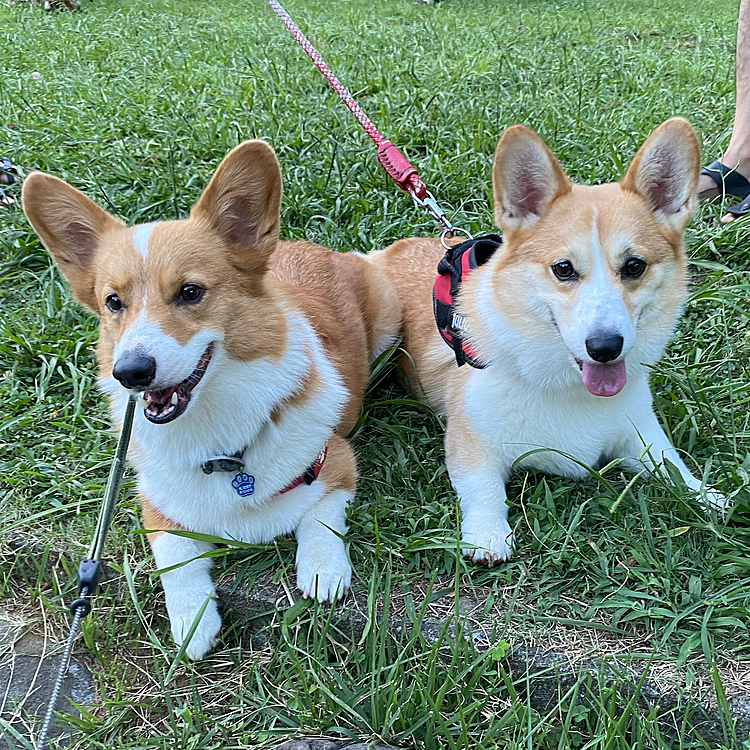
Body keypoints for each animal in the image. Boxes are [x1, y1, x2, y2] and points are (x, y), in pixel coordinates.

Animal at [22, 140, 400, 656]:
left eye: (190, 292)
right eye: (113, 302)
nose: (130, 373)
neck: (216, 435)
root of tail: (310, 246)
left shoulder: (336, 461)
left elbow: (318, 519)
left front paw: (324, 571)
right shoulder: (155, 504)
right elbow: (174, 557)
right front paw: (192, 620)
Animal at [376, 116, 728, 564]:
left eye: (634, 266)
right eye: (563, 269)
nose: (605, 347)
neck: (566, 386)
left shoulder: (640, 434)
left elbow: (672, 466)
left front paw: (707, 495)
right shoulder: (470, 443)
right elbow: (483, 489)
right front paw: (487, 536)